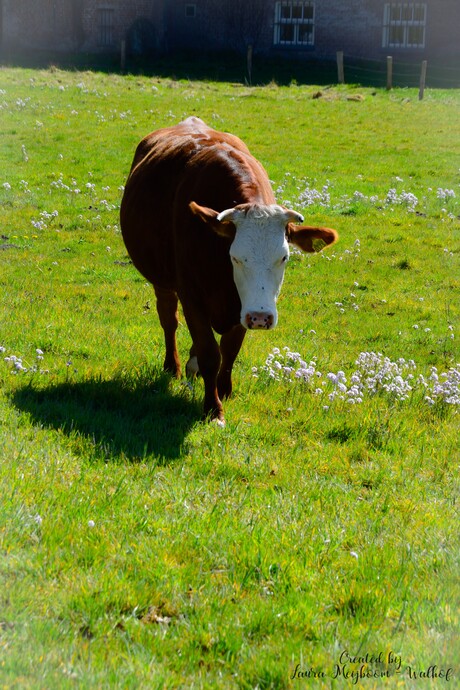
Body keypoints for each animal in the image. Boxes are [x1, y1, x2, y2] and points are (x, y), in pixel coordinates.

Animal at [120, 117, 337, 424]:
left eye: (283, 257)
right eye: (235, 257)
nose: (261, 317)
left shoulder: (241, 307)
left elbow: (230, 349)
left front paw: (224, 390)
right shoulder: (192, 296)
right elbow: (210, 352)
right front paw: (213, 408)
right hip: (162, 281)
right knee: (168, 319)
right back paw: (173, 365)